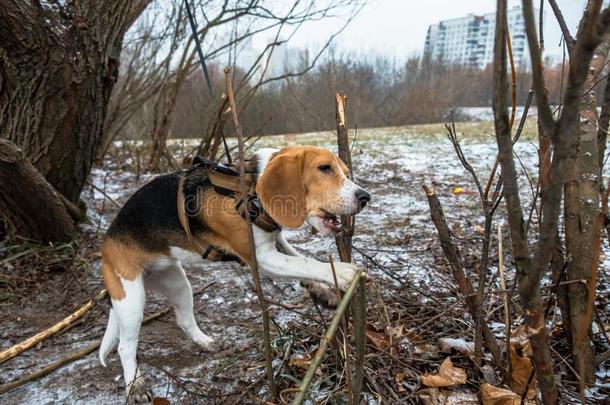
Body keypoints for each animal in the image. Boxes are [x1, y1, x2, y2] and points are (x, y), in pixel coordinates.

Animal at [97, 144, 368, 398]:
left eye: (346, 172)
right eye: (324, 168)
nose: (365, 197)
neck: (252, 188)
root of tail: (107, 242)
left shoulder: (277, 242)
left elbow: (302, 259)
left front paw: (323, 290)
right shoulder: (262, 258)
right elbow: (306, 264)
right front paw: (344, 272)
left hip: (177, 284)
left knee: (184, 320)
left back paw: (206, 342)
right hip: (131, 299)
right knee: (125, 347)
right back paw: (135, 385)